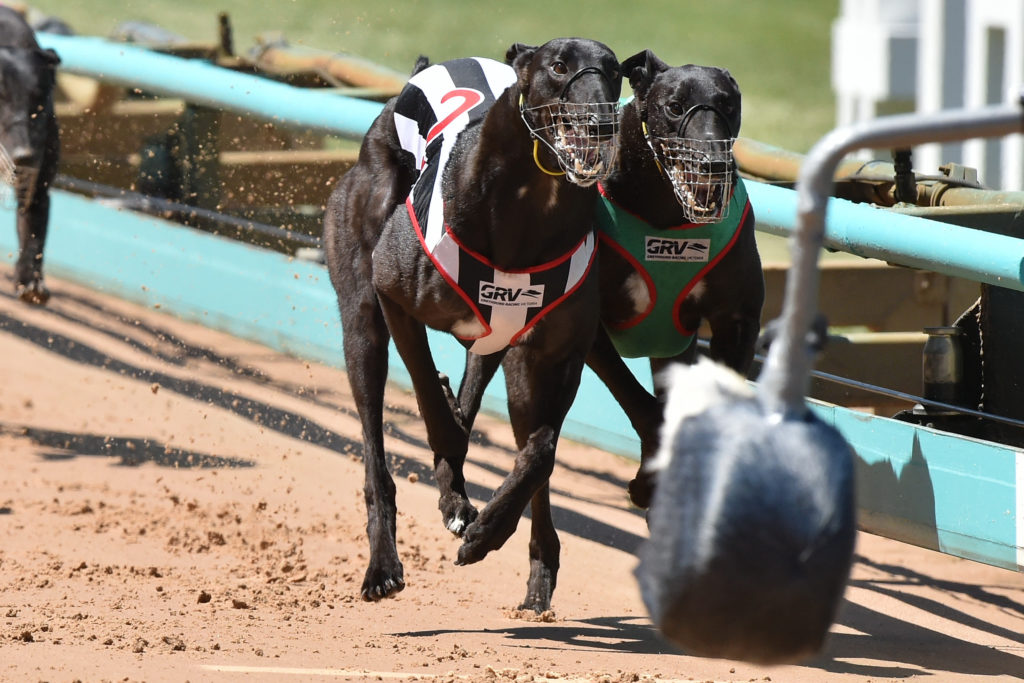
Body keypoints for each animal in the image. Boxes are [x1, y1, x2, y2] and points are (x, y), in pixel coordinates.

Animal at [323, 37, 618, 610]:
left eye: (616, 74)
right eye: (559, 66)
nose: (600, 124)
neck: (533, 203)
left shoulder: (559, 355)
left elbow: (541, 452)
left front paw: (486, 531)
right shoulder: (392, 292)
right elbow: (428, 396)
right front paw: (451, 454)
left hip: (510, 355)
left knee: (514, 432)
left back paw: (528, 564)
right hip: (362, 322)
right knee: (376, 446)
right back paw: (384, 564)